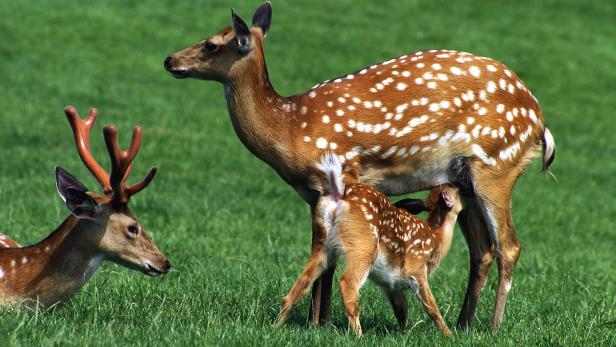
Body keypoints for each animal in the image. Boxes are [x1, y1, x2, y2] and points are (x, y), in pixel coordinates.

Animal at [165, 2, 560, 330]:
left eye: (211, 44)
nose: (170, 60)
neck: (289, 128)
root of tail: (539, 122)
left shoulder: (340, 176)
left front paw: (319, 322)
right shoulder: (314, 194)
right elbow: (323, 260)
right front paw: (317, 322)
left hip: (496, 166)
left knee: (509, 247)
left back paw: (492, 327)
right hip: (464, 179)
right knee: (483, 250)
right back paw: (463, 325)